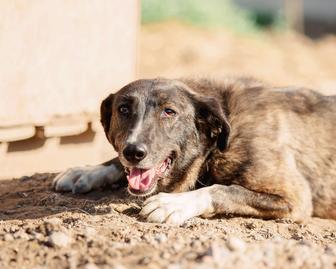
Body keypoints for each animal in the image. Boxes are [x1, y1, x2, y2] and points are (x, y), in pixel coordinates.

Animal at [51, 77, 334, 224]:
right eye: (123, 109)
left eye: (169, 111)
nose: (133, 152)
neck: (215, 146)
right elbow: (117, 164)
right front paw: (86, 171)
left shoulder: (295, 198)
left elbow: (223, 189)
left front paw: (173, 203)